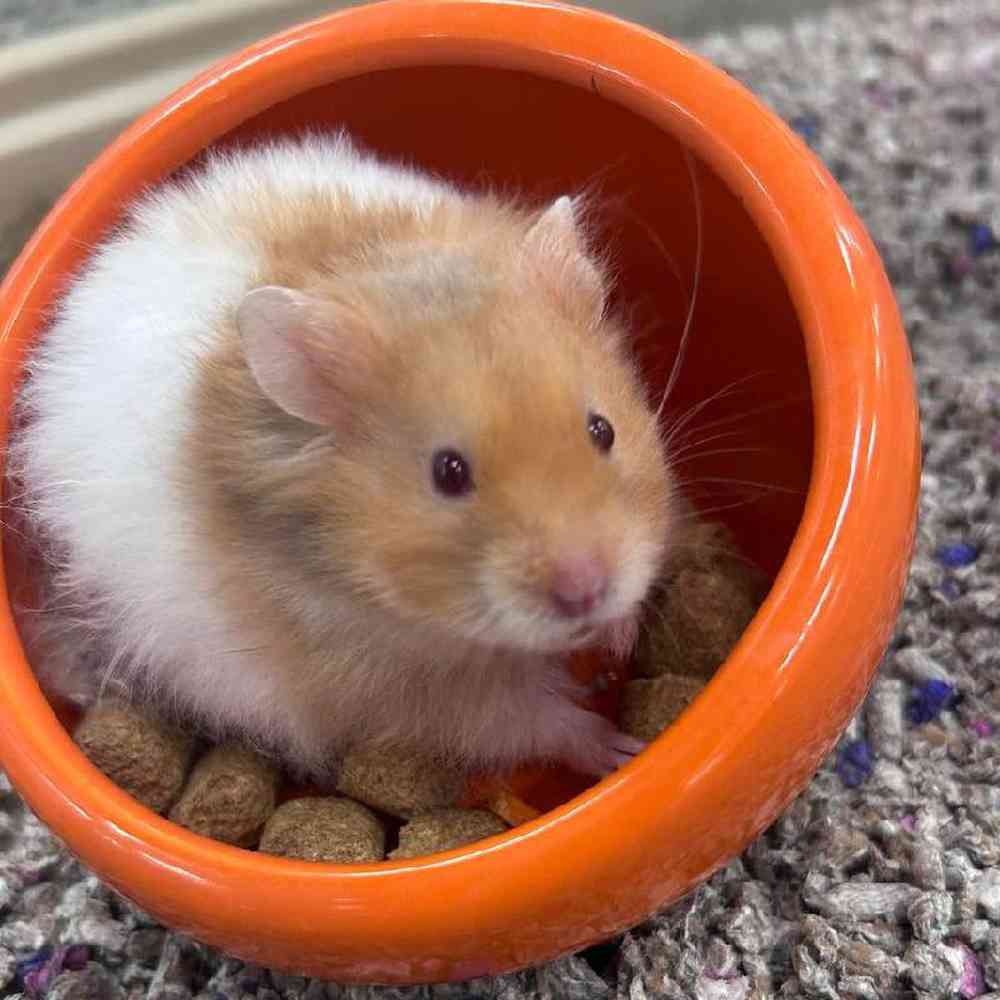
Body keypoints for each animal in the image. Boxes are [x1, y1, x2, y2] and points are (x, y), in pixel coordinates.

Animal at [8, 132, 680, 779]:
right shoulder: (406, 694)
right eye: (448, 473)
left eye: (603, 430)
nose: (586, 592)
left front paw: (619, 640)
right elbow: (527, 722)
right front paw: (622, 749)